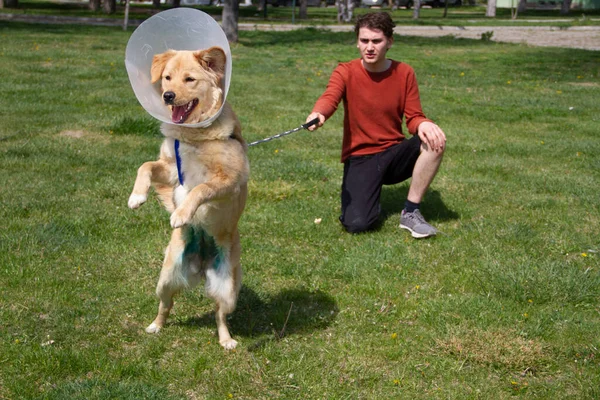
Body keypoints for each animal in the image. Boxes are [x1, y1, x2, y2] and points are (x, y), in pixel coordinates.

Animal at [126, 45, 248, 348]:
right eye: (167, 78)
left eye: (190, 79)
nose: (167, 96)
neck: (195, 135)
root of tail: (202, 264)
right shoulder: (170, 170)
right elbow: (145, 166)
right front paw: (136, 197)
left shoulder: (228, 182)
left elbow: (199, 189)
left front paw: (181, 214)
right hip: (166, 278)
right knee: (166, 305)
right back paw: (155, 326)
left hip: (228, 288)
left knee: (220, 315)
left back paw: (227, 340)